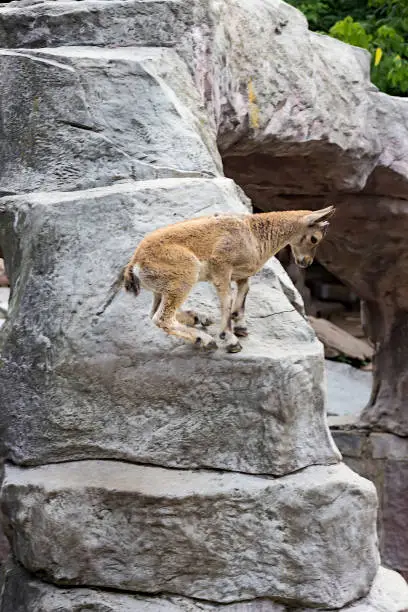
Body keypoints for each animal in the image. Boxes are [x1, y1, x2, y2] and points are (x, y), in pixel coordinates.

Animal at [122, 206, 334, 352]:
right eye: (314, 238)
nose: (306, 262)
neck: (254, 235)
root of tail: (135, 263)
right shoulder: (221, 267)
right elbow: (227, 299)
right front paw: (231, 339)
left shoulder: (241, 274)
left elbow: (244, 292)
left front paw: (240, 326)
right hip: (185, 277)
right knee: (162, 318)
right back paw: (205, 339)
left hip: (162, 289)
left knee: (154, 313)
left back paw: (199, 319)